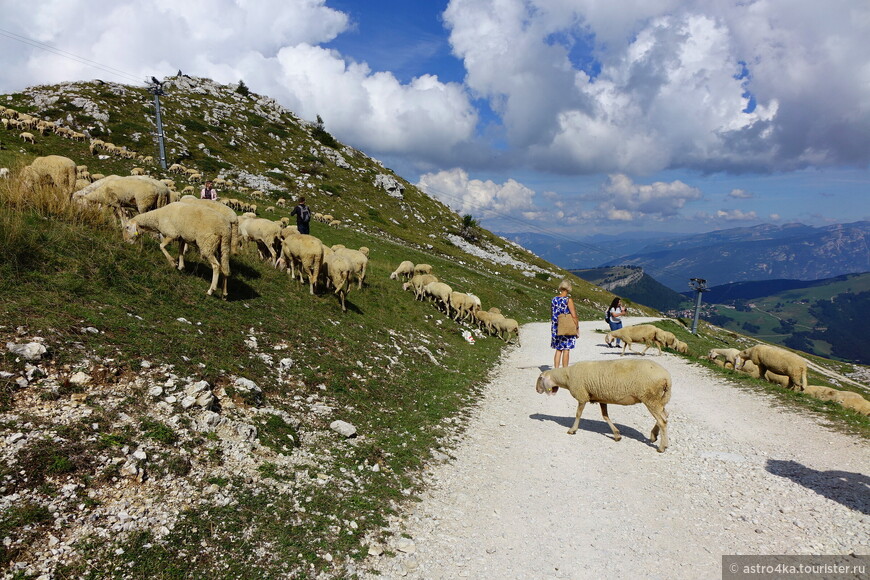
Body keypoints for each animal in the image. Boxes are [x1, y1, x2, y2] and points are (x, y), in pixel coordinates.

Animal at [536, 358, 676, 454]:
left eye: (539, 379)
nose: (537, 390)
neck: (567, 376)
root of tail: (667, 378)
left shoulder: (582, 395)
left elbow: (578, 414)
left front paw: (572, 430)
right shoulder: (601, 398)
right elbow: (605, 416)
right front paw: (617, 435)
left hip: (650, 398)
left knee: (662, 421)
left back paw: (662, 447)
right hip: (659, 399)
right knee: (665, 416)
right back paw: (654, 435)